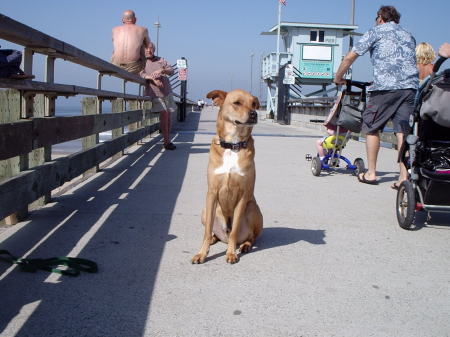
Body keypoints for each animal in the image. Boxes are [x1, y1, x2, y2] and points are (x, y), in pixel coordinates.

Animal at [191, 89, 262, 262]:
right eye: (237, 103)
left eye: (254, 104)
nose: (254, 114)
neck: (232, 145)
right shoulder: (212, 193)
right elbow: (207, 230)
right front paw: (202, 253)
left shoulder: (243, 195)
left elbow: (235, 231)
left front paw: (231, 253)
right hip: (205, 210)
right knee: (212, 233)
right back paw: (213, 239)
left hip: (253, 208)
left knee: (252, 236)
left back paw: (245, 246)